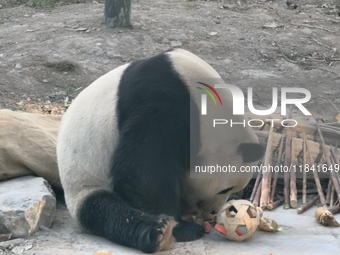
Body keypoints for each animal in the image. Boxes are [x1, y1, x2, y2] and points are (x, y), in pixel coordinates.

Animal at [57, 48, 264, 254]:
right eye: (225, 188)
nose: (213, 212)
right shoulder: (162, 102)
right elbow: (142, 173)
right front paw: (181, 228)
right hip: (84, 181)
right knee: (107, 211)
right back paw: (158, 232)